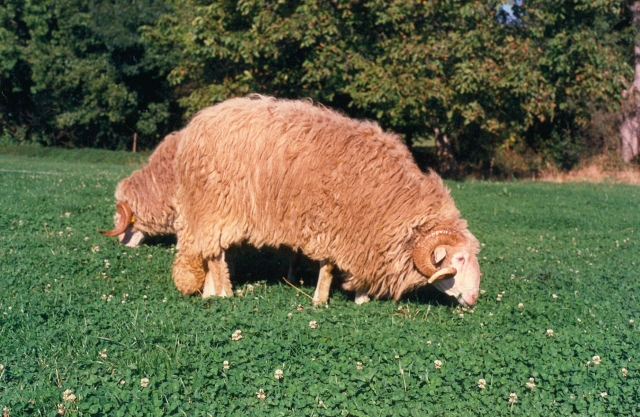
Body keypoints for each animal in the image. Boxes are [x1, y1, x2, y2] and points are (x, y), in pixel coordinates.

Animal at [170, 96, 480, 304]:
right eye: (460, 258)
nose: (475, 299)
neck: (392, 198)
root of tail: (197, 124)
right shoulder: (332, 224)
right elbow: (329, 267)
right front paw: (320, 301)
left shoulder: (362, 235)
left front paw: (361, 297)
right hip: (214, 207)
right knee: (215, 255)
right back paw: (223, 293)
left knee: (213, 254)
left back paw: (209, 293)